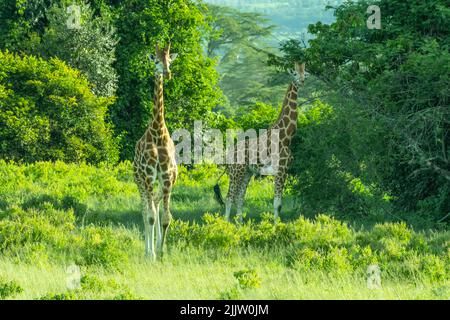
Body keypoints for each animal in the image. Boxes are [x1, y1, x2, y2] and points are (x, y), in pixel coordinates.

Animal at [214, 62, 306, 222]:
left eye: (304, 73)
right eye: (294, 73)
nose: (301, 81)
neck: (286, 136)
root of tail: (227, 155)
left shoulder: (285, 171)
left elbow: (279, 203)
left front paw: (276, 224)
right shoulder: (279, 171)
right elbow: (277, 204)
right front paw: (276, 226)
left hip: (246, 173)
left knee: (239, 197)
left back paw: (240, 224)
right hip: (235, 172)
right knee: (229, 197)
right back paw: (226, 224)